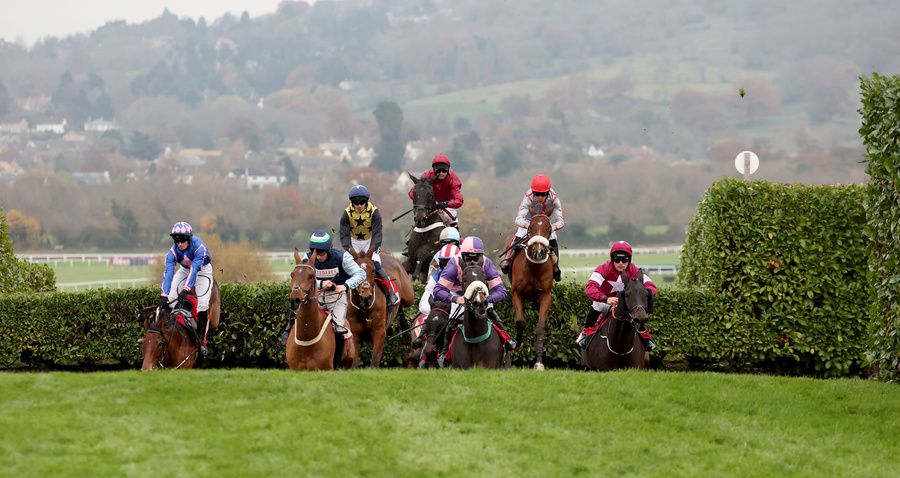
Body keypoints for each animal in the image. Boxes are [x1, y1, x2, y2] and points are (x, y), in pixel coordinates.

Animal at [510, 215, 560, 372]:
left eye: (548, 228)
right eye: (530, 227)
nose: (539, 252)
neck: (534, 267)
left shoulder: (546, 296)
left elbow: (540, 328)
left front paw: (538, 362)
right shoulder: (516, 293)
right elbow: (520, 322)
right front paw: (517, 346)